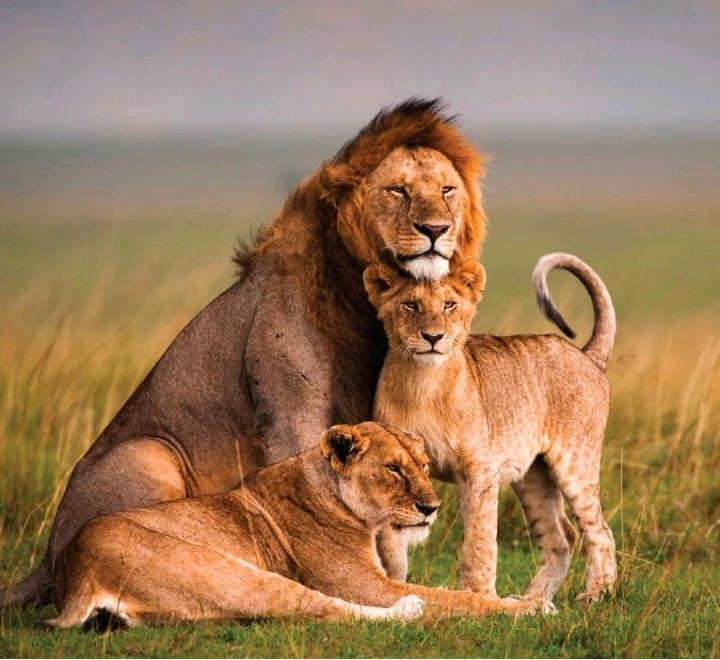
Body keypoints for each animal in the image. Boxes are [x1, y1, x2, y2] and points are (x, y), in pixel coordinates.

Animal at [1, 98, 487, 608]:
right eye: (398, 190)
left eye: (447, 190)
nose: (435, 229)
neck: (359, 296)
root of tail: (47, 555)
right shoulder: (294, 417)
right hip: (149, 453)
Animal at [47, 422, 546, 628]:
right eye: (393, 469)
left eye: (423, 465)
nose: (432, 507)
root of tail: (77, 568)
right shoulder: (364, 584)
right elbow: (456, 599)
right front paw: (526, 606)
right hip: (228, 572)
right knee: (322, 608)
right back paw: (409, 610)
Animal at [364, 253, 617, 605]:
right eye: (411, 305)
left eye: (449, 305)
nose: (433, 337)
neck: (422, 383)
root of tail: (585, 355)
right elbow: (391, 546)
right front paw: (393, 588)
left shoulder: (479, 471)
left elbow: (479, 542)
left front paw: (479, 596)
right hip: (532, 477)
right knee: (561, 537)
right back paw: (532, 601)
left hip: (576, 463)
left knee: (599, 530)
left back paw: (595, 594)